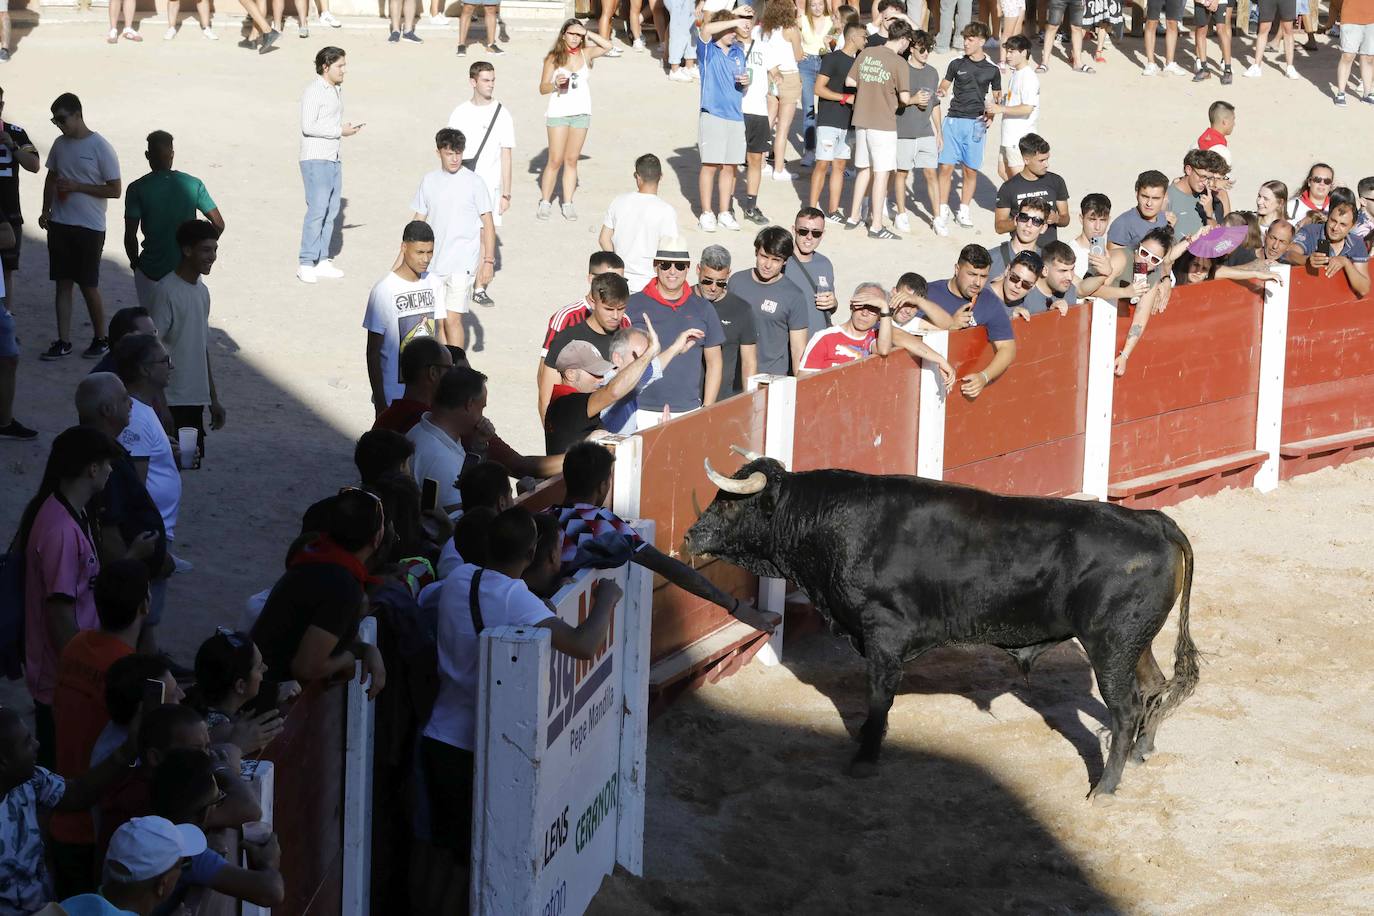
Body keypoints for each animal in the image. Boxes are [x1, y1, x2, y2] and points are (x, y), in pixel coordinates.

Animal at [681, 455, 1198, 796]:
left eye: (730, 504)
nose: (689, 536)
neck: (823, 523)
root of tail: (1154, 521)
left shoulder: (883, 634)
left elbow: (878, 697)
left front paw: (865, 758)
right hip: (1135, 643)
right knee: (1154, 687)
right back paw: (1142, 751)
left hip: (1110, 644)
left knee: (1125, 708)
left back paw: (1105, 787)